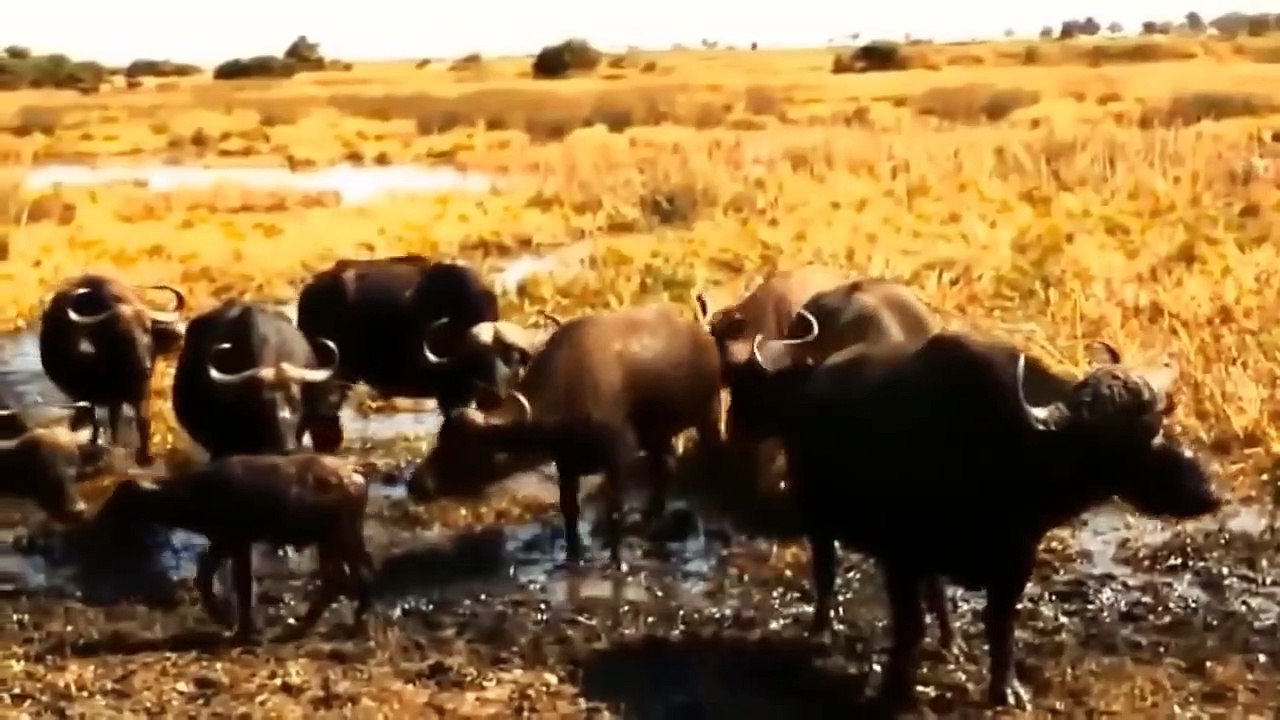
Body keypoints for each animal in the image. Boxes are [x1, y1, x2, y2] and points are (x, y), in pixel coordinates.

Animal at [38, 274, 187, 466]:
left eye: (147, 329)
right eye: (118, 334)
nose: (144, 367)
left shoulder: (140, 392)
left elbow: (142, 420)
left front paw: (144, 456)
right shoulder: (90, 393)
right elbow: (97, 421)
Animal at [94, 453, 374, 641]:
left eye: (115, 499)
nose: (97, 521)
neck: (195, 493)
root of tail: (353, 470)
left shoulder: (235, 540)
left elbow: (237, 583)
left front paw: (239, 628)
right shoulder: (227, 541)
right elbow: (207, 577)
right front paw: (234, 623)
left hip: (341, 537)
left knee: (355, 575)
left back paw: (353, 625)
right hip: (329, 541)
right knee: (337, 579)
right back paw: (308, 627)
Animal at [410, 303, 722, 564]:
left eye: (466, 446)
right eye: (442, 437)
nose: (416, 484)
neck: (568, 393)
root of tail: (702, 336)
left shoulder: (618, 458)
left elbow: (615, 512)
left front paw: (616, 561)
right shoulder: (566, 463)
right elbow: (569, 510)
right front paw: (573, 557)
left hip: (708, 414)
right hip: (658, 436)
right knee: (664, 468)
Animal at [769, 332, 1222, 710]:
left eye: (1156, 425)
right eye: (1116, 443)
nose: (1205, 492)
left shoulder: (1015, 560)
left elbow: (999, 625)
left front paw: (1006, 690)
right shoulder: (900, 557)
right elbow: (909, 625)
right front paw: (896, 689)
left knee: (936, 589)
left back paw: (951, 642)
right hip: (816, 513)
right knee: (826, 571)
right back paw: (822, 633)